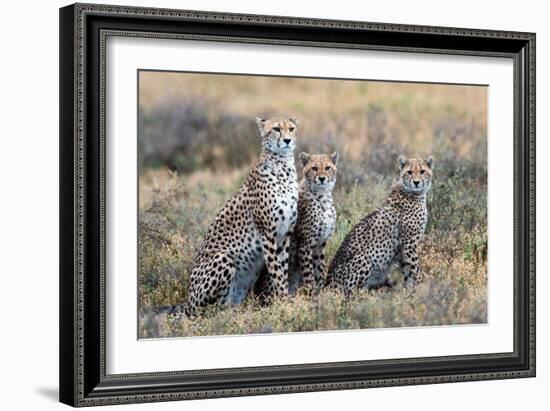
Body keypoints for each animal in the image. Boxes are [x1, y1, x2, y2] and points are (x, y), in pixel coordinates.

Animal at [189, 115, 302, 312]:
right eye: (276, 129)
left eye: (291, 128)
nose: (287, 140)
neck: (283, 167)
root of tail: (187, 301)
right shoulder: (267, 234)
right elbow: (277, 272)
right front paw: (284, 302)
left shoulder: (284, 235)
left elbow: (282, 269)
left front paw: (283, 299)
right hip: (223, 258)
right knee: (209, 309)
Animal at [288, 153, 340, 294]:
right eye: (314, 168)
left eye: (327, 168)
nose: (322, 178)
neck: (322, 197)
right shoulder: (305, 244)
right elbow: (309, 273)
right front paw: (311, 293)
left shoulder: (320, 243)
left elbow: (319, 269)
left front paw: (320, 291)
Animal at [328, 156, 436, 294]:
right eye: (409, 172)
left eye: (422, 171)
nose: (416, 182)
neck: (412, 193)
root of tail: (326, 285)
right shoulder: (409, 244)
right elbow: (416, 269)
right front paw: (425, 286)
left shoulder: (403, 249)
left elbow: (408, 271)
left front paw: (409, 291)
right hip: (365, 258)